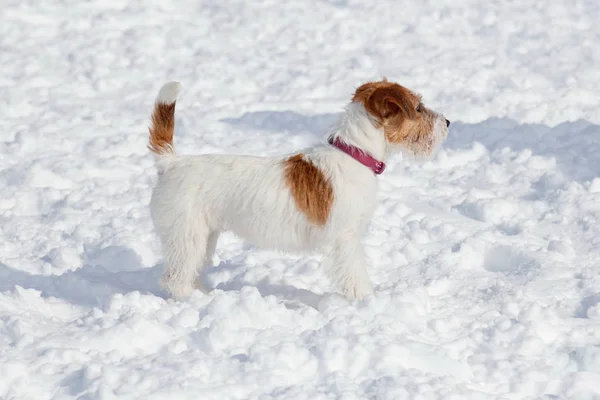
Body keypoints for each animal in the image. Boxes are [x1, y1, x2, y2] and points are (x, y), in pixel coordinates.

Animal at [149, 79, 450, 300]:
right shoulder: (346, 240)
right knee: (174, 279)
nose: (448, 123)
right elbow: (355, 276)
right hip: (186, 236)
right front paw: (366, 301)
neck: (354, 153)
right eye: (418, 107)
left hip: (205, 237)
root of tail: (171, 162)